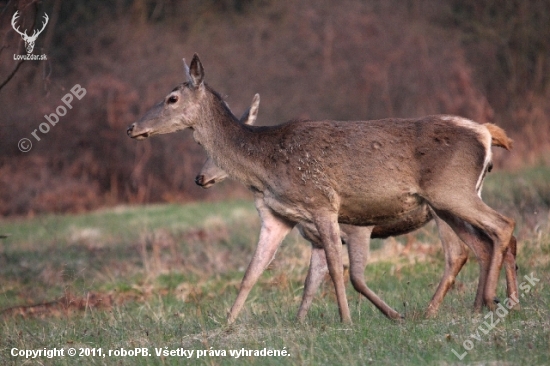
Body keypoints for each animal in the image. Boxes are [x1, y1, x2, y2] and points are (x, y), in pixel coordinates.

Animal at [196, 94, 520, 320]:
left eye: (212, 152)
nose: (200, 177)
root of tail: (486, 133)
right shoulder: (316, 239)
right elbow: (311, 282)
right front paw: (299, 321)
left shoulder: (355, 228)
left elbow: (354, 277)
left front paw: (393, 315)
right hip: (457, 203)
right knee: (490, 244)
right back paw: (490, 305)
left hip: (448, 201)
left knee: (466, 249)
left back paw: (440, 310)